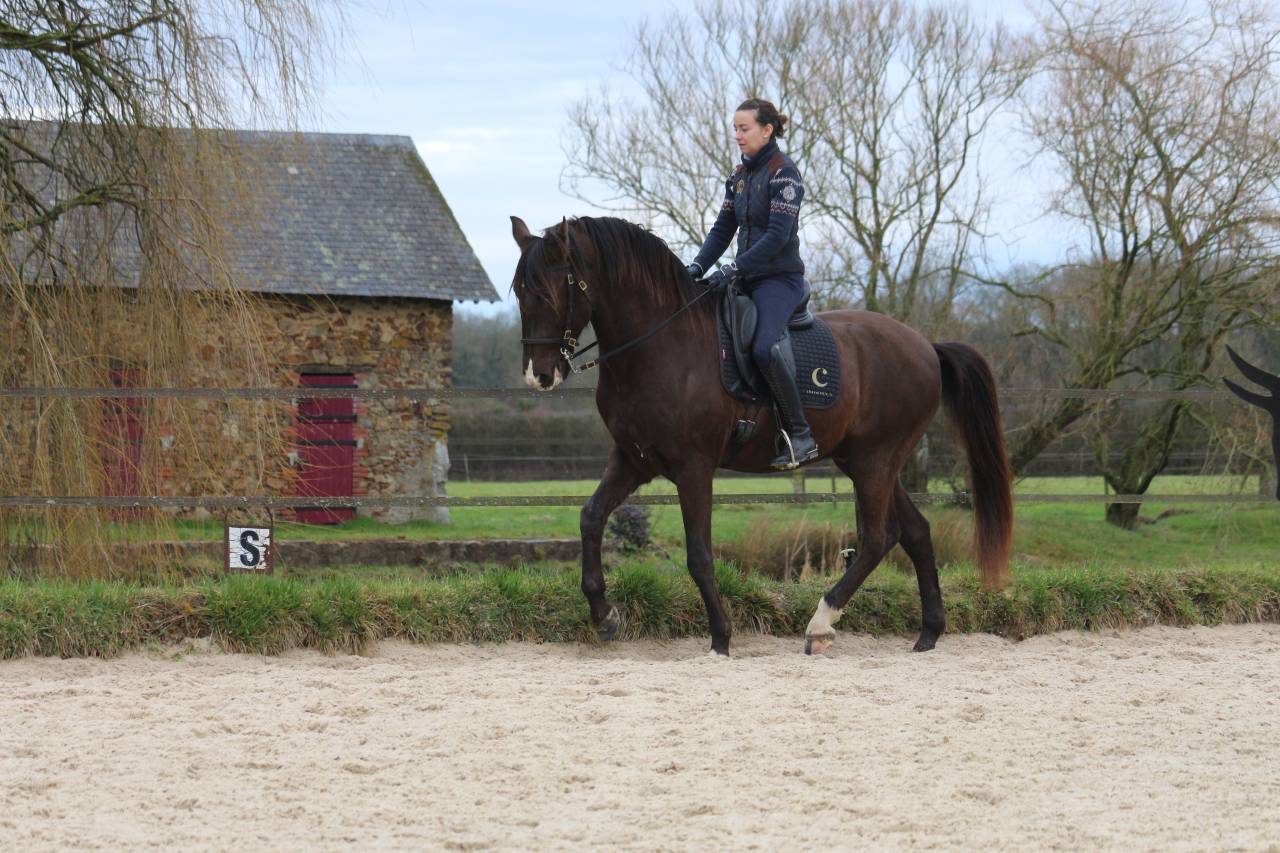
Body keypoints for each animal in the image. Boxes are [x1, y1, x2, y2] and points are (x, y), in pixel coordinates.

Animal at [509, 214, 1013, 656]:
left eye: (550, 291)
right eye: (518, 292)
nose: (539, 376)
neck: (660, 345)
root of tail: (926, 346)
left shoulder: (693, 468)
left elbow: (699, 555)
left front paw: (720, 638)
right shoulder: (633, 460)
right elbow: (591, 518)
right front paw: (604, 615)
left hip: (876, 460)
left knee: (877, 537)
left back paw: (820, 625)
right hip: (866, 460)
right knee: (915, 532)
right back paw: (928, 634)